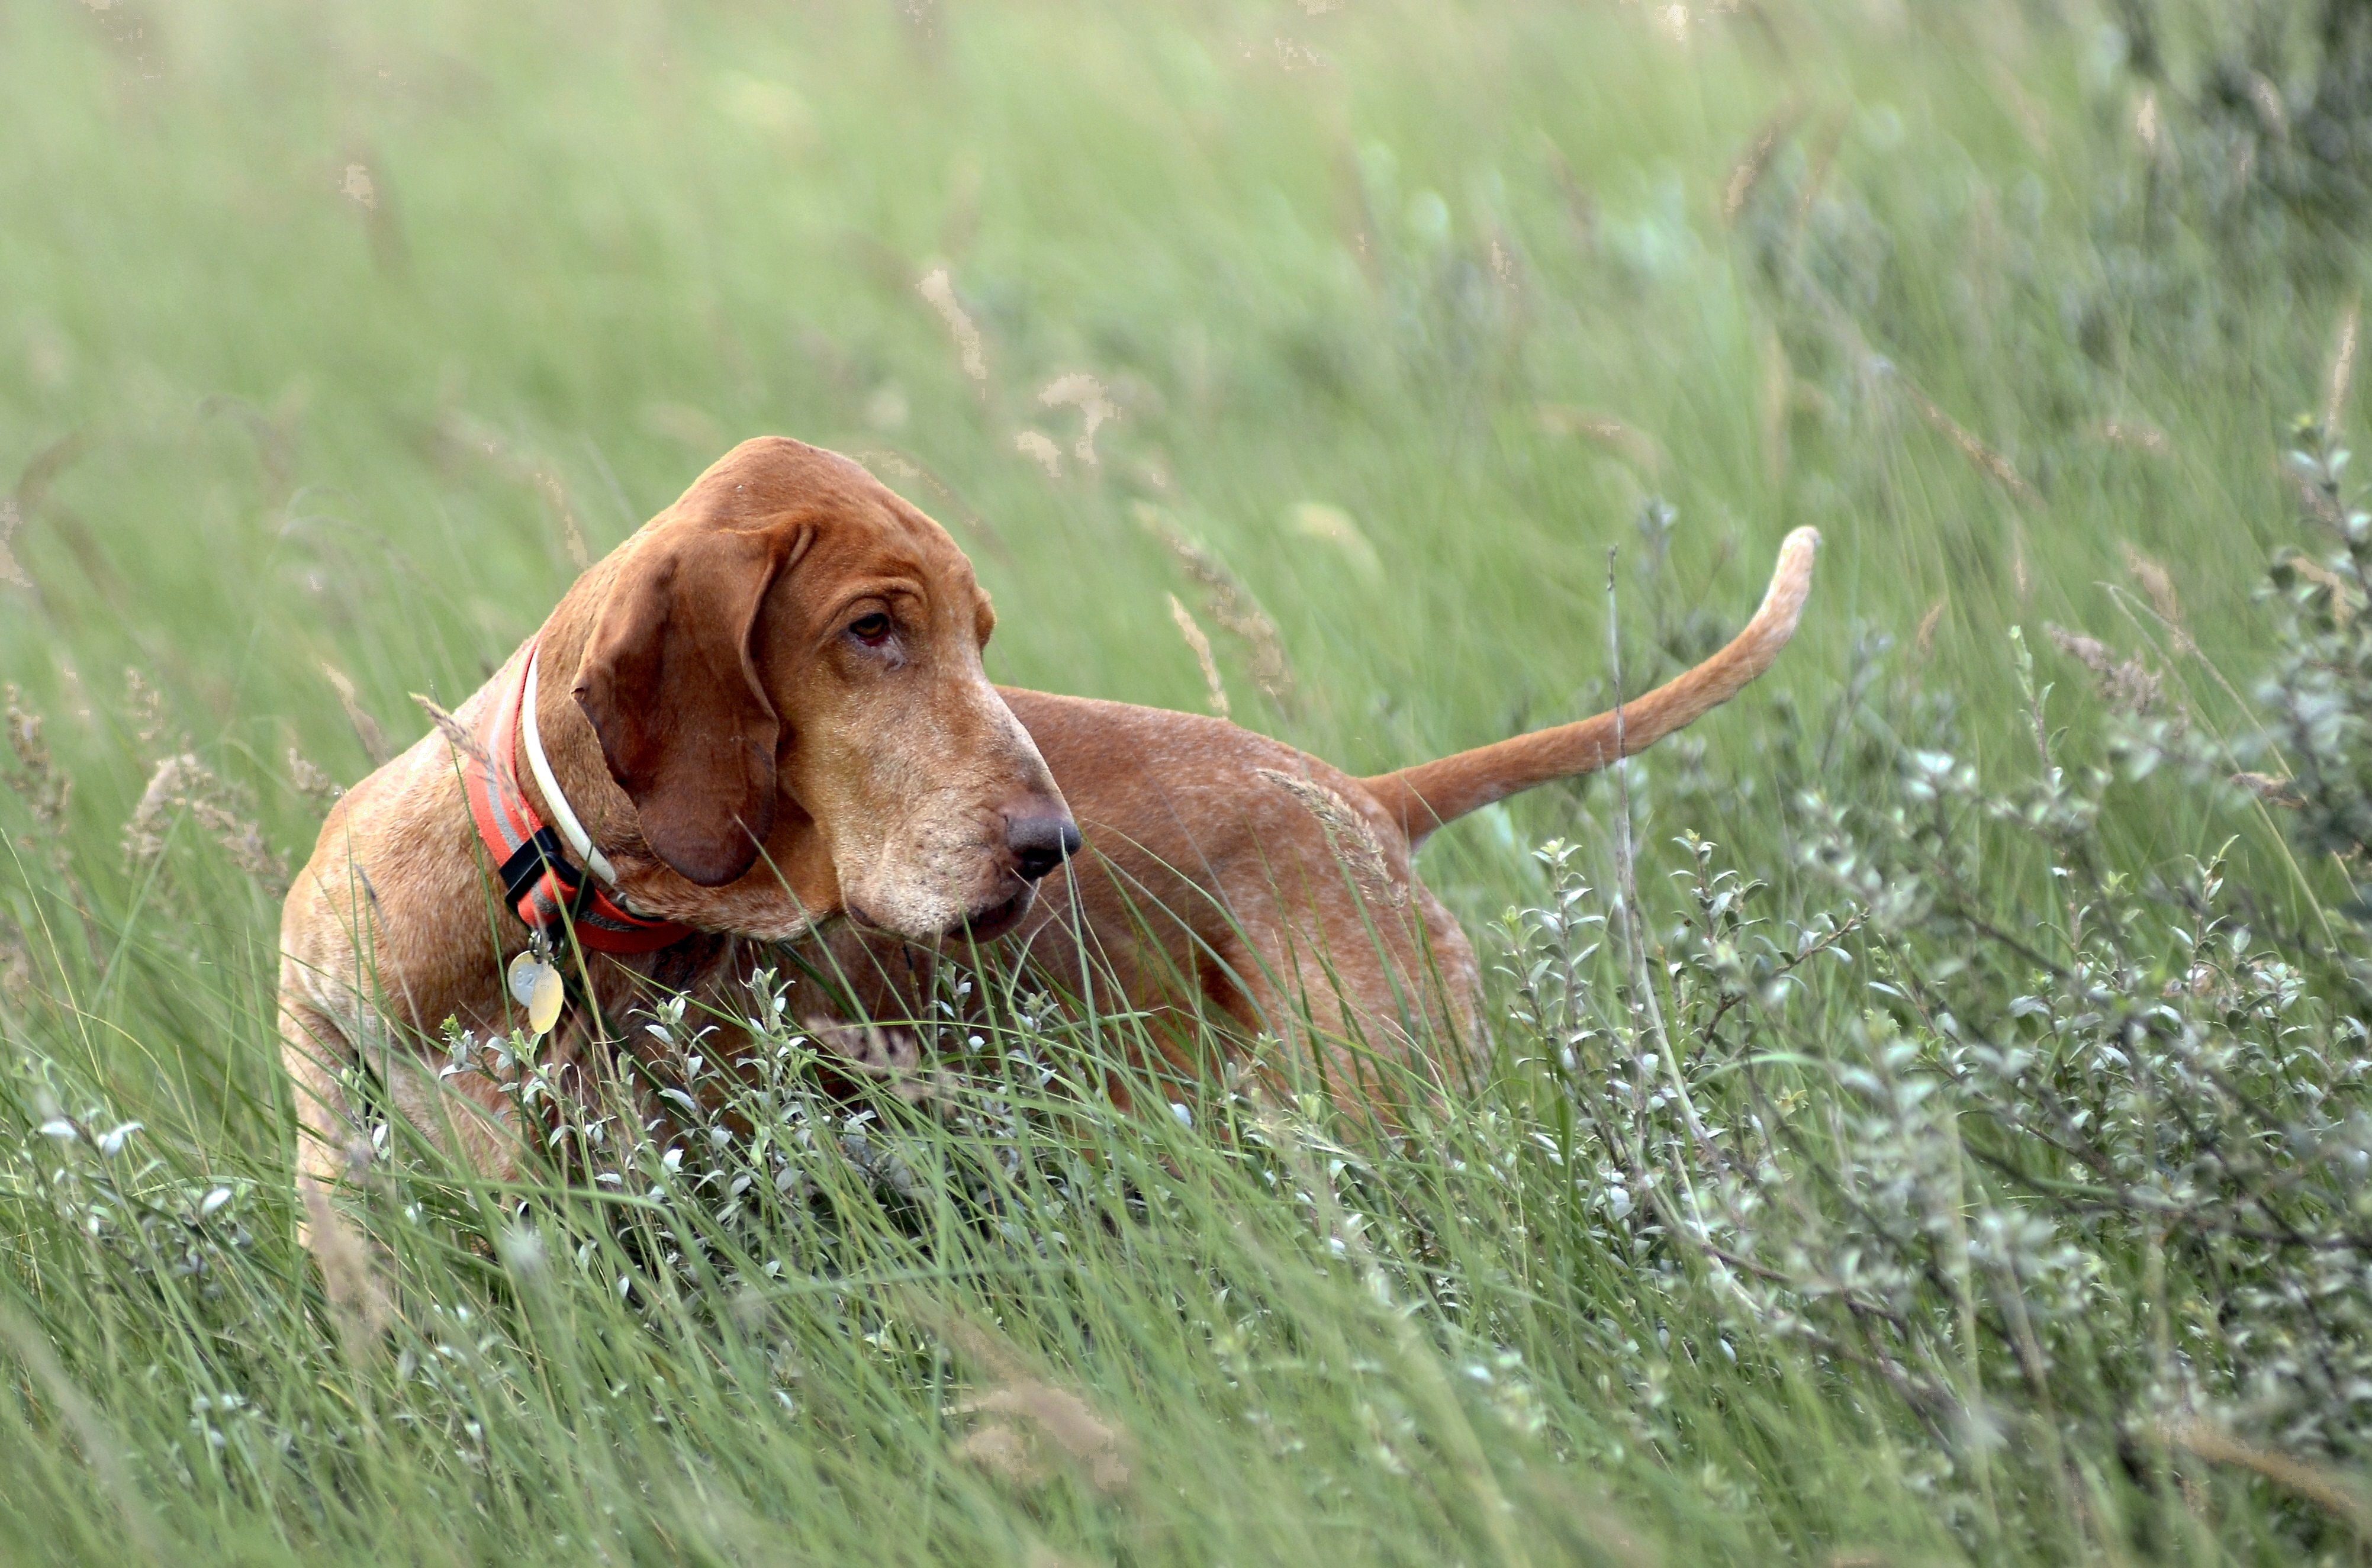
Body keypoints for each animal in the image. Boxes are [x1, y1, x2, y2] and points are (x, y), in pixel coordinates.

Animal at [279, 436, 1086, 1233]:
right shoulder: (307, 995)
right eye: (870, 626)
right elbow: (337, 1178)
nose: (1051, 845)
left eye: (978, 639)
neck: (570, 892)